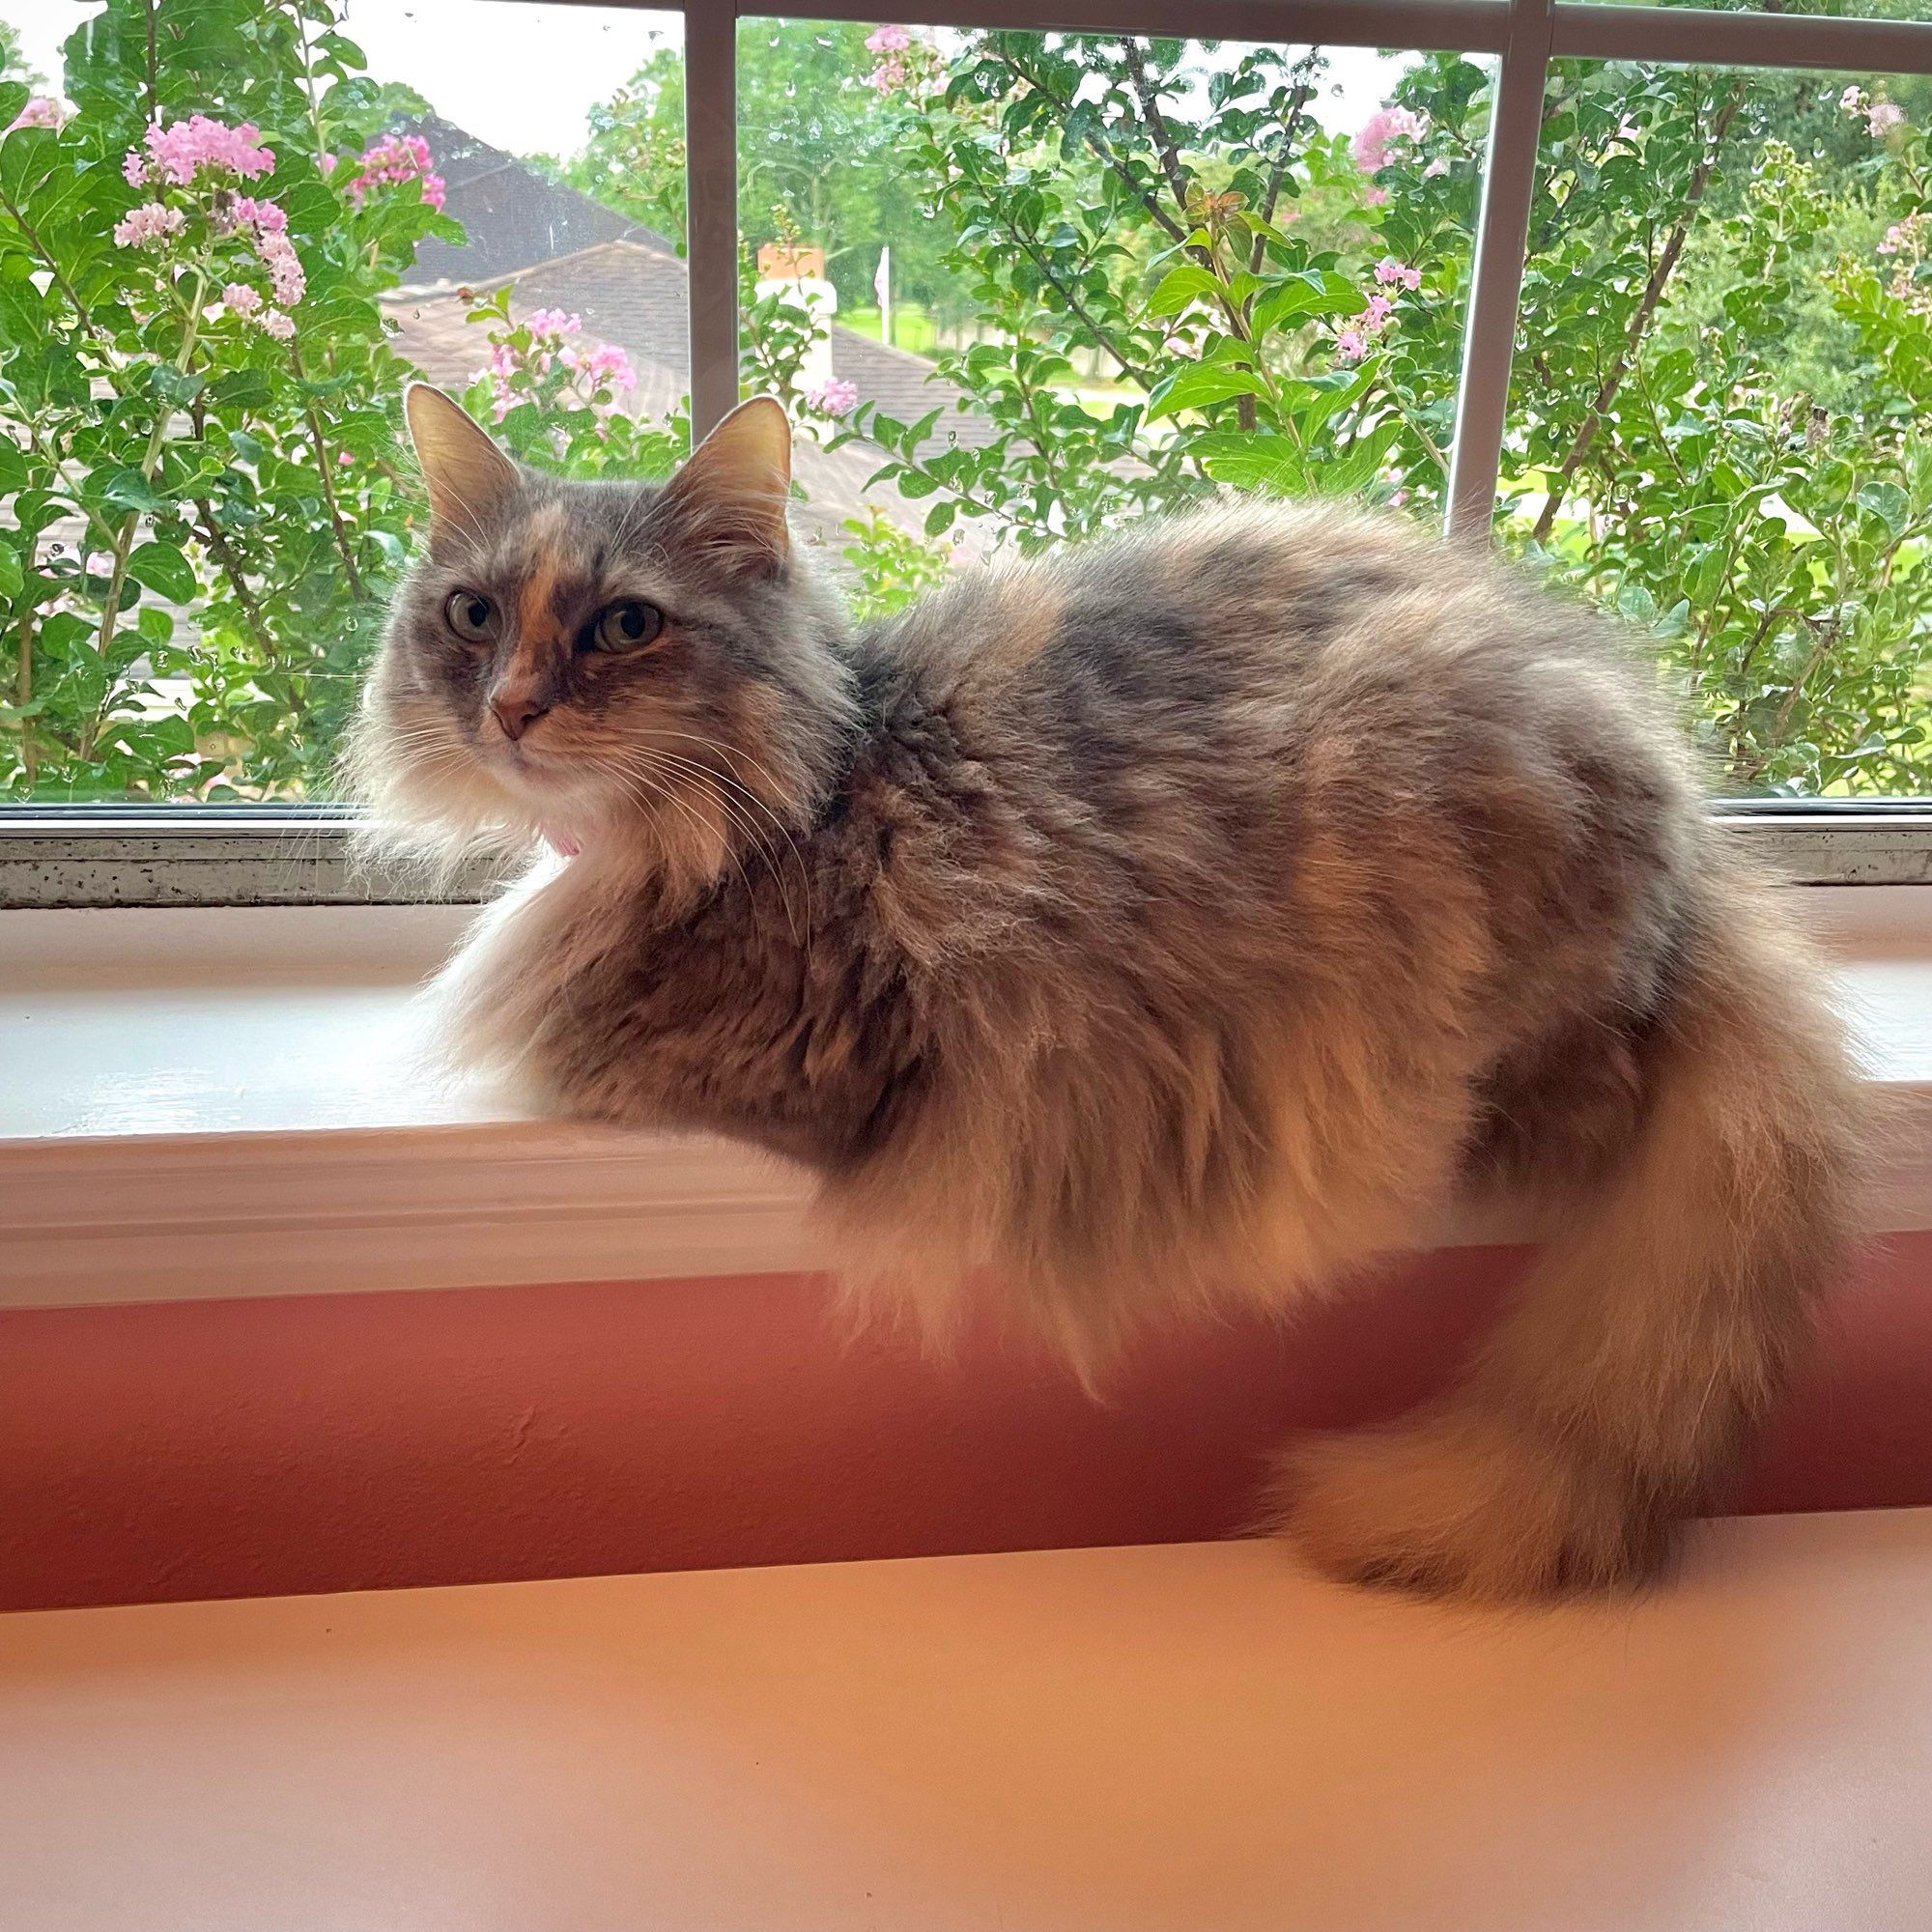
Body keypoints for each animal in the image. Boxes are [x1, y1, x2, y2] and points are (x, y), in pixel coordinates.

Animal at [348, 381, 1855, 1600]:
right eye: (472, 615)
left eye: (624, 625)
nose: (512, 709)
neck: (802, 783)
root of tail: (1701, 842)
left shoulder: (779, 1049)